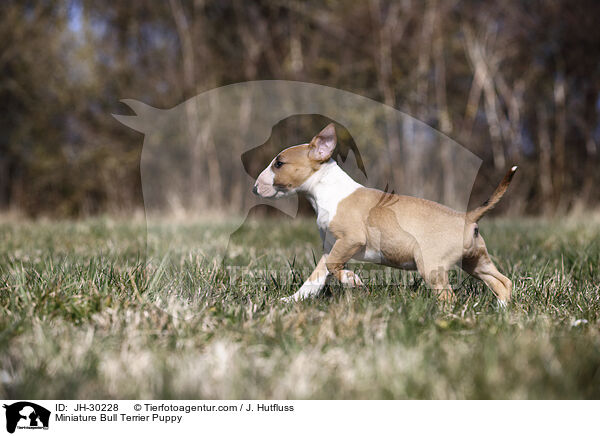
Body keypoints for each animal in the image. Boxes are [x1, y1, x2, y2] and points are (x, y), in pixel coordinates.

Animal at [252, 123, 516, 304]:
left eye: (279, 164)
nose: (254, 188)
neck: (327, 189)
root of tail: (466, 217)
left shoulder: (350, 240)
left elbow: (336, 266)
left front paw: (352, 280)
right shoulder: (330, 247)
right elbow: (315, 278)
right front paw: (291, 301)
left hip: (431, 266)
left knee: (449, 296)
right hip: (476, 261)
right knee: (502, 282)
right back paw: (502, 312)